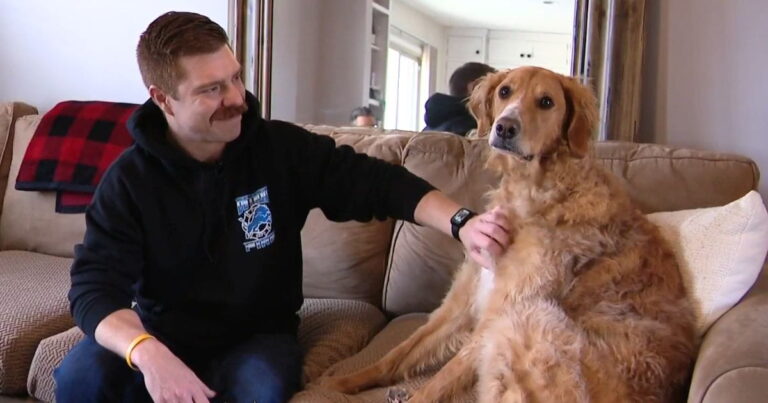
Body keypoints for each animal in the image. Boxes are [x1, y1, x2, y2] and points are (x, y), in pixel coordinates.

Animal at [316, 67, 696, 403]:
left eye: (546, 102)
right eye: (505, 92)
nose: (505, 127)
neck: (536, 192)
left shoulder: (497, 316)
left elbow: (437, 384)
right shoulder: (464, 300)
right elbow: (399, 353)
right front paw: (344, 381)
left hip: (525, 321)